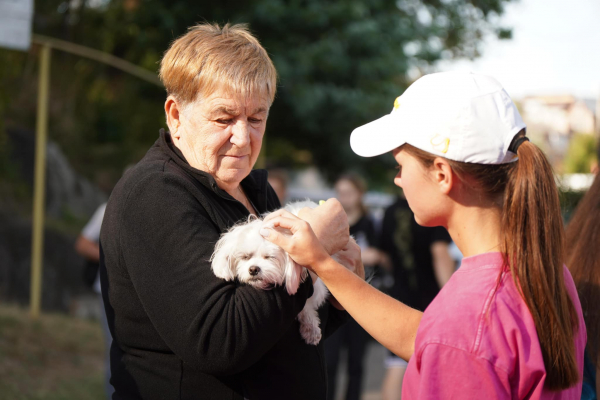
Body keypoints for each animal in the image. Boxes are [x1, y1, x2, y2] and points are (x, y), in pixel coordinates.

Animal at [211, 202, 330, 346]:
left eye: (269, 257)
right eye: (245, 257)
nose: (253, 269)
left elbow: (306, 304)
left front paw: (310, 327)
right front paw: (310, 327)